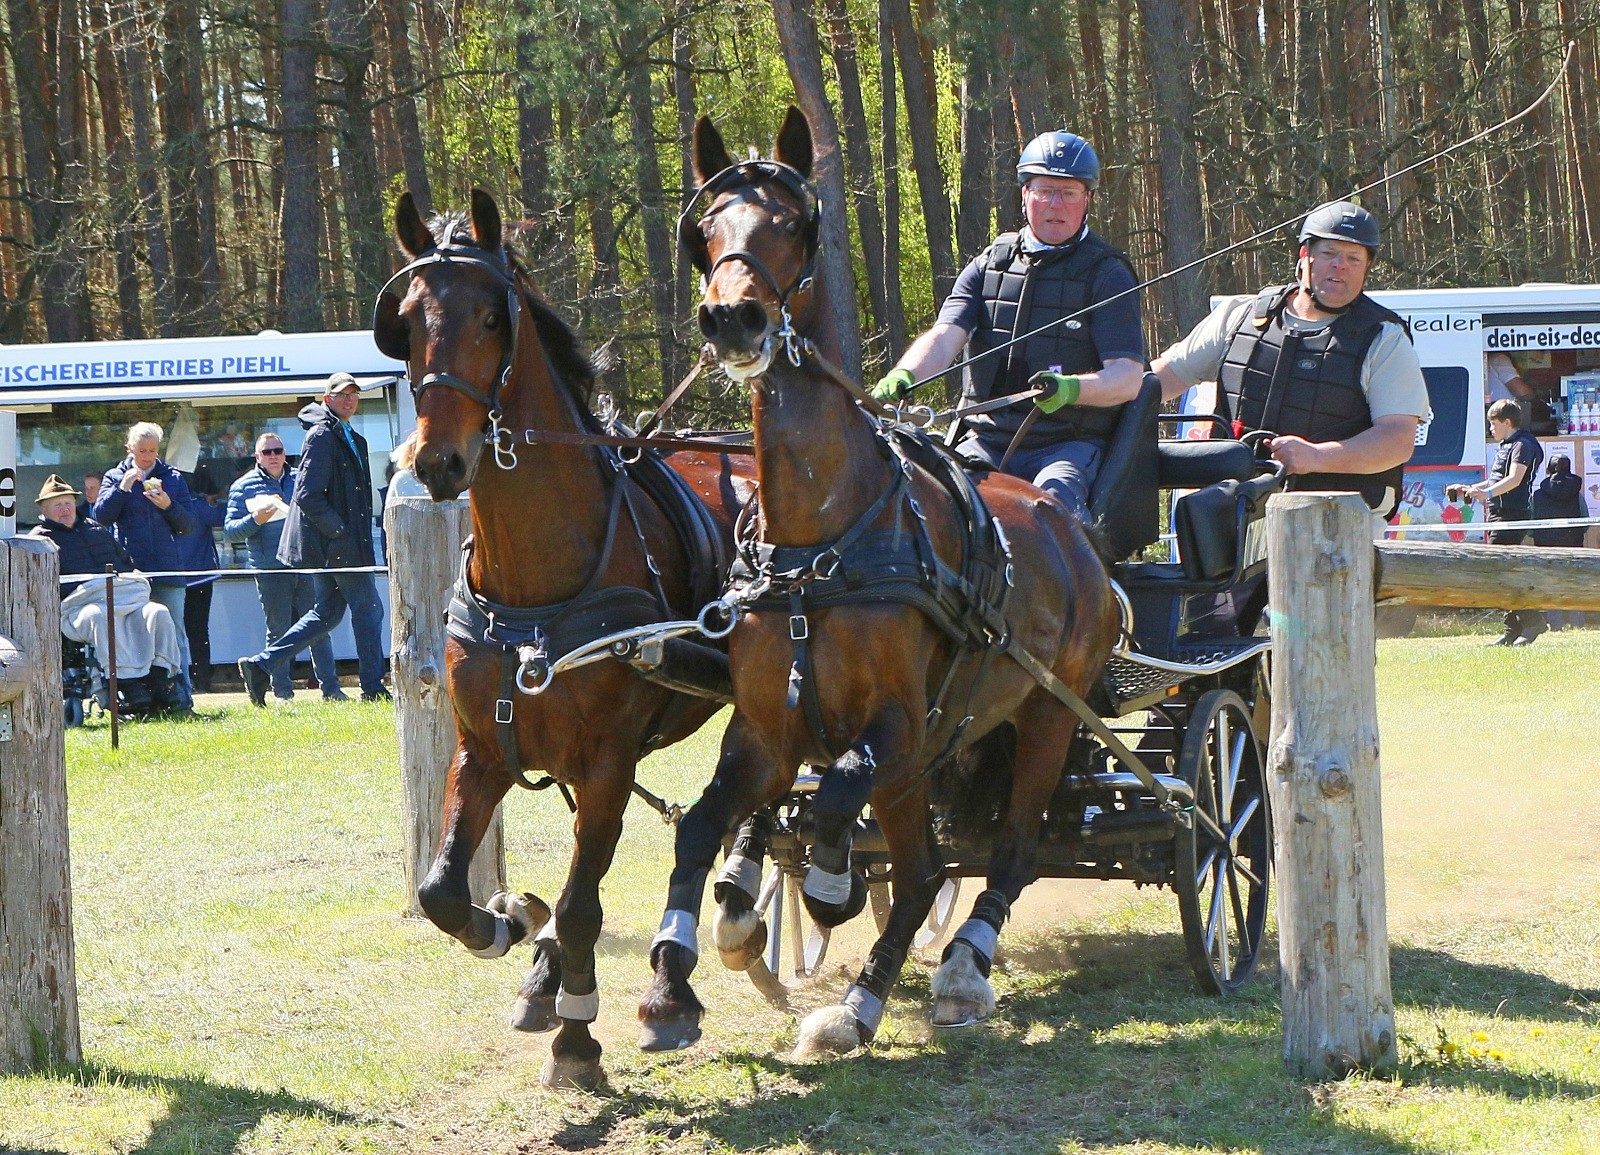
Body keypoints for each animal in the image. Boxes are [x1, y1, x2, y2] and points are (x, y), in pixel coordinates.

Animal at [372, 188, 752, 1089]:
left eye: (489, 316)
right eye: (404, 322)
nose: (436, 462)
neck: (535, 584)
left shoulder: (608, 758)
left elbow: (584, 904)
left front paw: (578, 1035)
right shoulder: (483, 746)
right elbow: (443, 891)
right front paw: (513, 923)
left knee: (736, 811)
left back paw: (677, 975)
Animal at [635, 108, 1121, 1058]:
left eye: (793, 223)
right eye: (707, 228)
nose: (733, 317)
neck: (820, 543)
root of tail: (1072, 532)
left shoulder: (898, 724)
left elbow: (833, 802)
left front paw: (827, 889)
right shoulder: (768, 730)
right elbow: (707, 824)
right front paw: (676, 980)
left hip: (1046, 716)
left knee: (1007, 851)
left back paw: (954, 967)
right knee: (927, 861)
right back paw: (861, 1000)